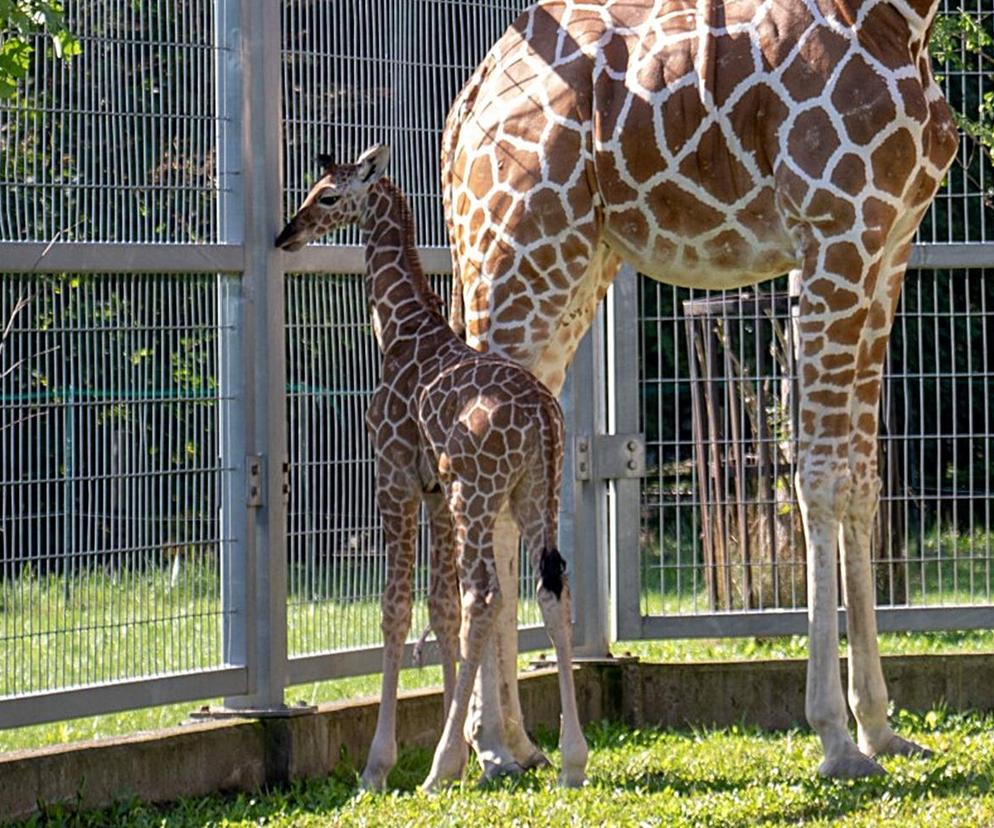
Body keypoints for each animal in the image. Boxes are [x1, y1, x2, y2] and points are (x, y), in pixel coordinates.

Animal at [276, 146, 584, 792]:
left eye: (328, 196)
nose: (286, 234)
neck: (398, 329)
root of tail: (544, 418)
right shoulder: (437, 490)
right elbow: (440, 609)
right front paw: (465, 749)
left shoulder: (395, 474)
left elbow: (396, 609)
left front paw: (381, 765)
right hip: (534, 493)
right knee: (552, 589)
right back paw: (571, 760)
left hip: (480, 491)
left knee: (486, 595)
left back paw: (438, 768)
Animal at [442, 0, 952, 780]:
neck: (903, 23)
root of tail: (468, 104)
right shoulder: (835, 232)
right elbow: (821, 480)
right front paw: (835, 739)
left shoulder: (888, 244)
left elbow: (865, 481)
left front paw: (881, 730)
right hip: (517, 260)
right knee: (479, 479)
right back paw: (492, 745)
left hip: (571, 268)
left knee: (501, 490)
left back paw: (516, 743)